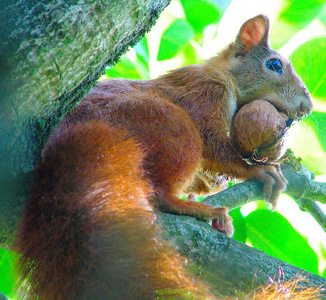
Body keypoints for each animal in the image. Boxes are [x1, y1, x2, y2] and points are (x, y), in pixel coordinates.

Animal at [15, 14, 314, 300]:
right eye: (274, 65)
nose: (308, 107)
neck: (222, 74)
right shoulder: (205, 91)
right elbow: (215, 146)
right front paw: (259, 171)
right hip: (170, 126)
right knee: (159, 193)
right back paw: (197, 209)